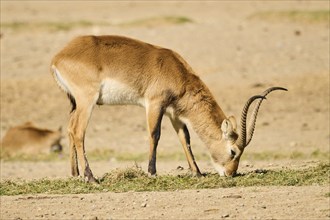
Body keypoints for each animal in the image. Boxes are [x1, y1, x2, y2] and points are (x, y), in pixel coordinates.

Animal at [51, 34, 286, 182]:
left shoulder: (174, 113)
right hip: (87, 101)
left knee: (70, 129)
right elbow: (154, 134)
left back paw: (75, 174)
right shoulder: (155, 104)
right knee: (78, 131)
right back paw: (90, 177)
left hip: (75, 103)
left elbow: (185, 138)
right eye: (233, 151)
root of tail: (58, 57)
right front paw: (152, 172)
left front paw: (197, 173)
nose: (230, 173)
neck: (176, 70)